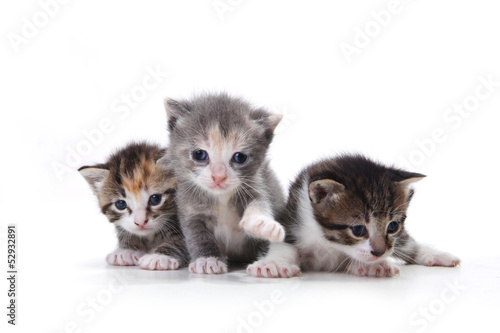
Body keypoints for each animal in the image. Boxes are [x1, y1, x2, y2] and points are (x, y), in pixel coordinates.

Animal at [164, 92, 286, 272]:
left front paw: (261, 223)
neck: (221, 198)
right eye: (199, 154)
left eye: (240, 157)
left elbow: (259, 203)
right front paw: (207, 259)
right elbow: (198, 236)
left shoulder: (256, 184)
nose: (219, 176)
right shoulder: (189, 209)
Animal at [249, 155, 460, 278]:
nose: (380, 252)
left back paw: (436, 255)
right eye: (358, 229)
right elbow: (284, 245)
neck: (328, 242)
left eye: (392, 226)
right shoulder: (293, 218)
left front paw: (373, 265)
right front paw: (273, 264)